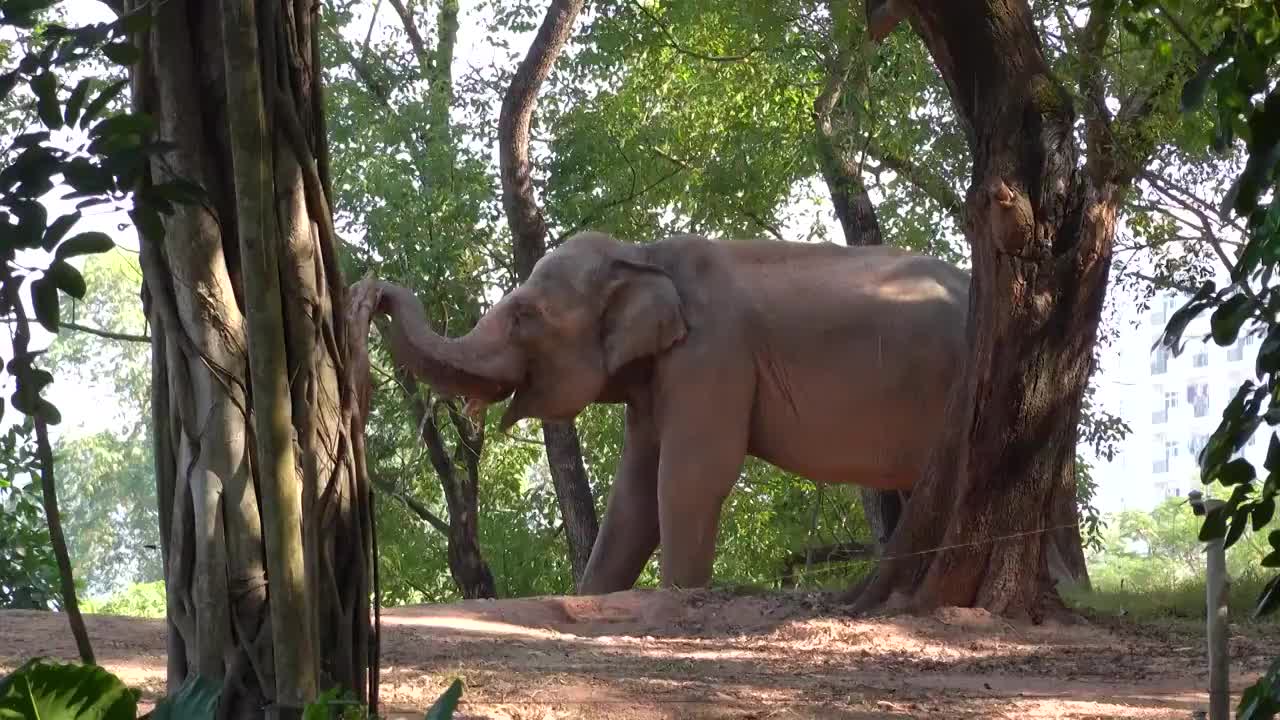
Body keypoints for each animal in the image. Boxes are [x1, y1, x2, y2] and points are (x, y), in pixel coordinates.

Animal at [355, 229, 962, 594]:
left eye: (525, 315)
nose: (374, 287)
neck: (644, 255)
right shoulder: (654, 380)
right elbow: (635, 493)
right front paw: (592, 598)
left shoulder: (713, 355)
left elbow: (690, 477)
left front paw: (678, 596)